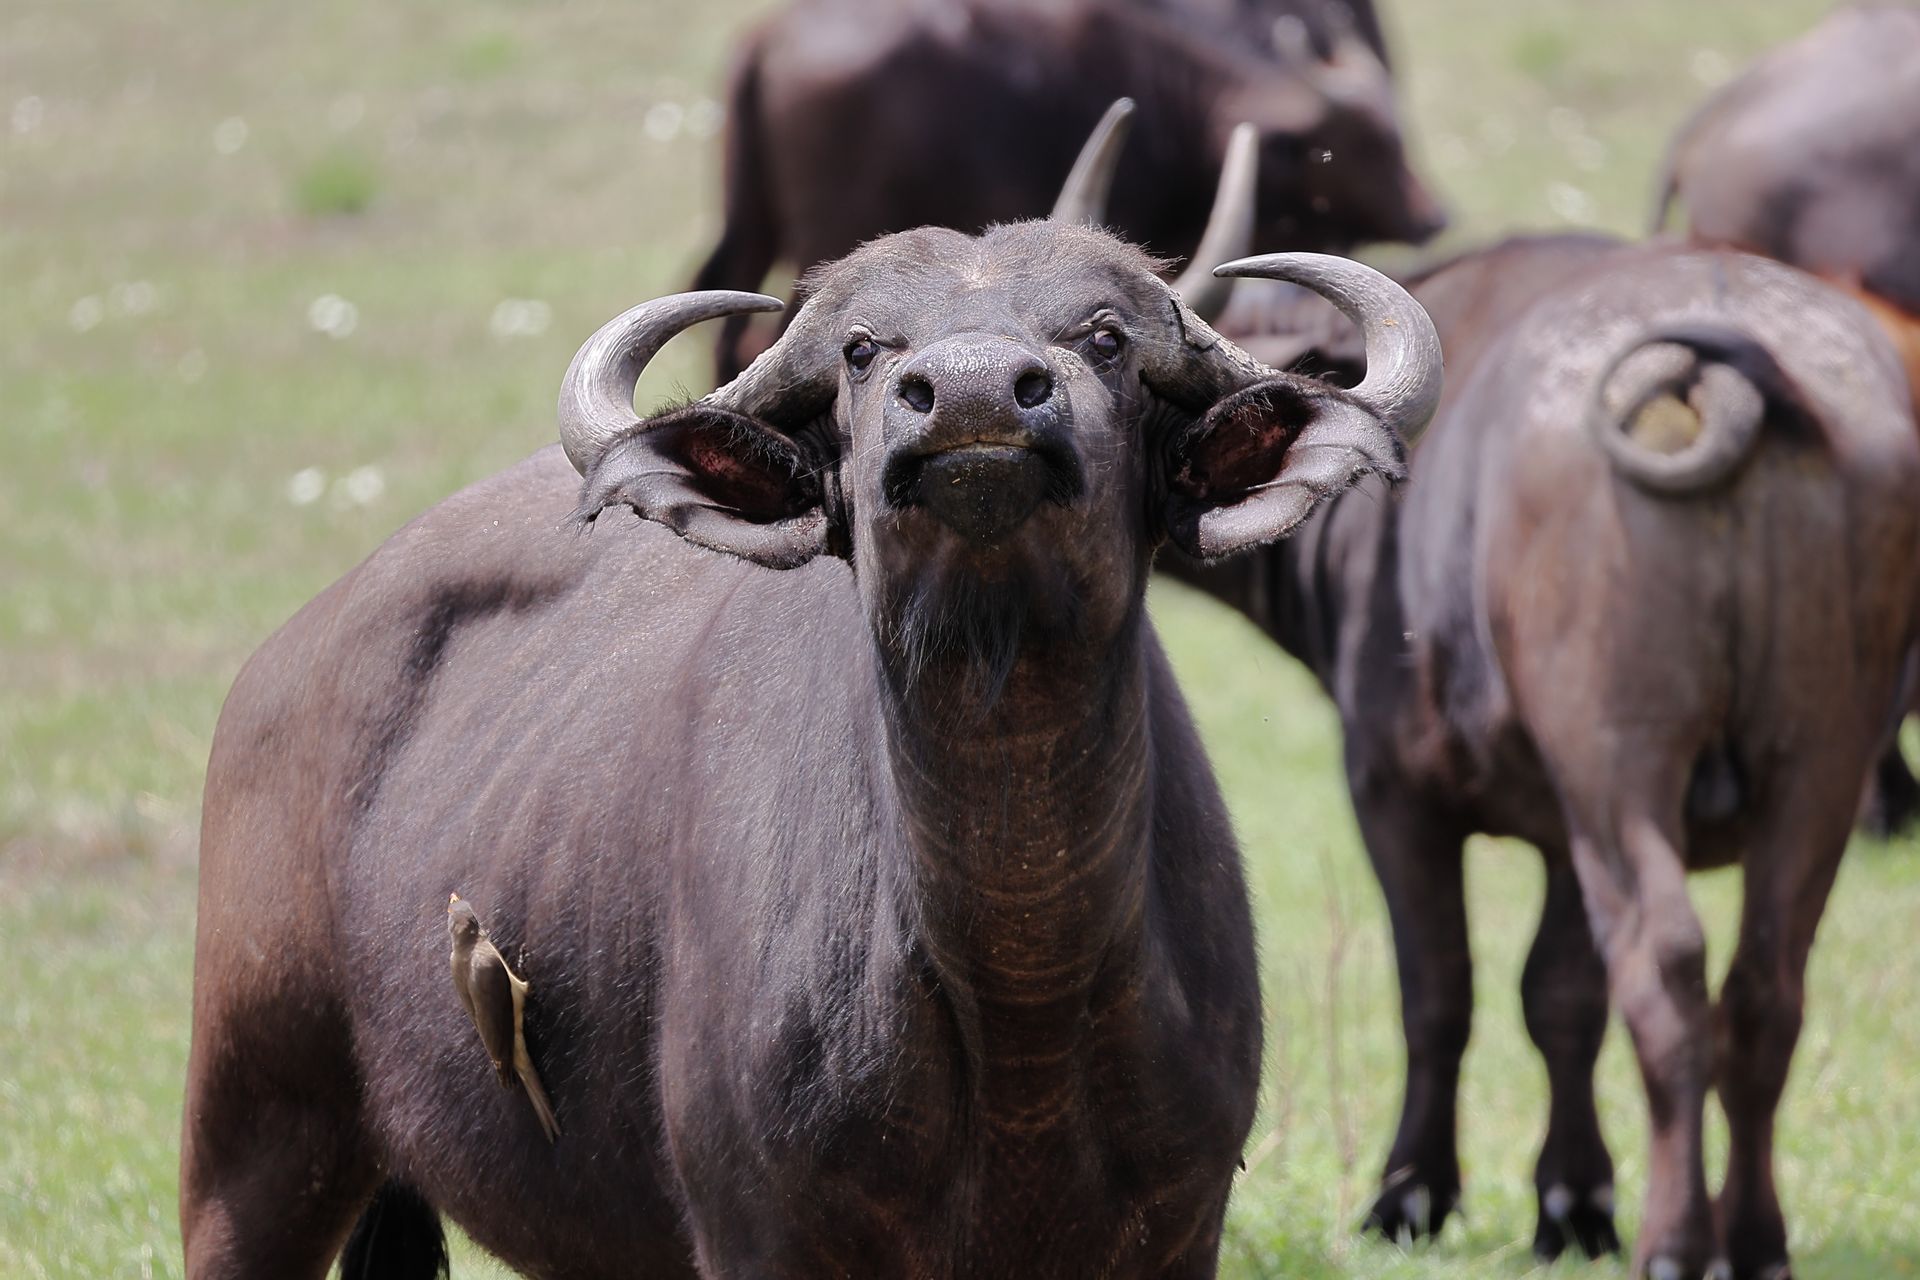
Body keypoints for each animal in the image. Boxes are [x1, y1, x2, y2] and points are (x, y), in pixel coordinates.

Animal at [179, 224, 1442, 1277]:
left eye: (1104, 335)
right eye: (863, 349)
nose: (972, 395)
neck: (1017, 998)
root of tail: (282, 666)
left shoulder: (1178, 1227)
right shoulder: (761, 1235)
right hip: (251, 1135)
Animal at [1170, 236, 1920, 1279]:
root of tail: (1723, 371)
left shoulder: (1394, 792)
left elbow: (1439, 990)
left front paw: (1413, 1198)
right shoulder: (1567, 833)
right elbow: (1562, 997)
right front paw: (1575, 1201)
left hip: (1622, 774)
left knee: (1665, 968)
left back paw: (1675, 1241)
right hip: (1816, 772)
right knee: (1762, 991)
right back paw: (1751, 1241)